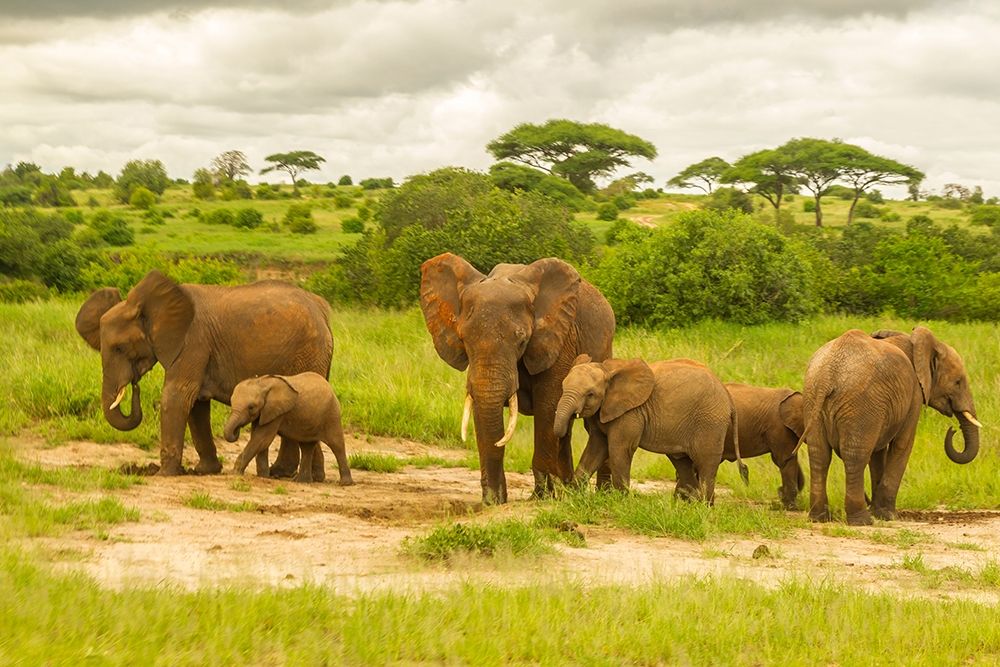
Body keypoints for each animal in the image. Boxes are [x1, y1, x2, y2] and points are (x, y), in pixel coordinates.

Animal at [75, 270, 333, 478]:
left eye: (119, 348)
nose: (135, 383)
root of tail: (322, 311)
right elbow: (196, 405)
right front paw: (205, 470)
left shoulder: (193, 342)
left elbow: (178, 397)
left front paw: (163, 474)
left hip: (307, 354)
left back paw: (281, 473)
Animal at [223, 373, 353, 485]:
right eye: (231, 402)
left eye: (251, 407)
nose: (237, 430)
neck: (261, 383)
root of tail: (330, 387)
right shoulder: (265, 412)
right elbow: (259, 439)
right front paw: (263, 476)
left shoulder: (276, 412)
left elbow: (262, 438)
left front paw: (235, 473)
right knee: (307, 447)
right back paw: (302, 481)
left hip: (332, 415)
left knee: (336, 445)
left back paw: (345, 483)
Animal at [419, 252, 615, 504]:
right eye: (464, 340)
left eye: (522, 341)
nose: (493, 499)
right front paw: (493, 502)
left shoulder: (558, 339)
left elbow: (547, 406)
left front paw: (541, 498)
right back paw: (569, 491)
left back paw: (604, 494)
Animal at [556, 356, 748, 502]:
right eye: (563, 387)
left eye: (590, 394)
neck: (607, 369)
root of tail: (727, 395)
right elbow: (595, 449)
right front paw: (572, 497)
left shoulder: (631, 413)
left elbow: (619, 449)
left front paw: (620, 502)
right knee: (683, 462)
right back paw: (688, 506)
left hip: (710, 422)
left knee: (706, 463)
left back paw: (703, 507)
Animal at [801, 327, 981, 526]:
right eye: (958, 382)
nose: (953, 430)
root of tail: (829, 373)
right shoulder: (914, 395)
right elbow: (903, 444)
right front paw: (888, 515)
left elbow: (878, 454)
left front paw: (878, 512)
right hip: (861, 403)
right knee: (855, 456)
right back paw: (862, 521)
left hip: (813, 399)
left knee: (819, 455)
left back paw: (819, 518)